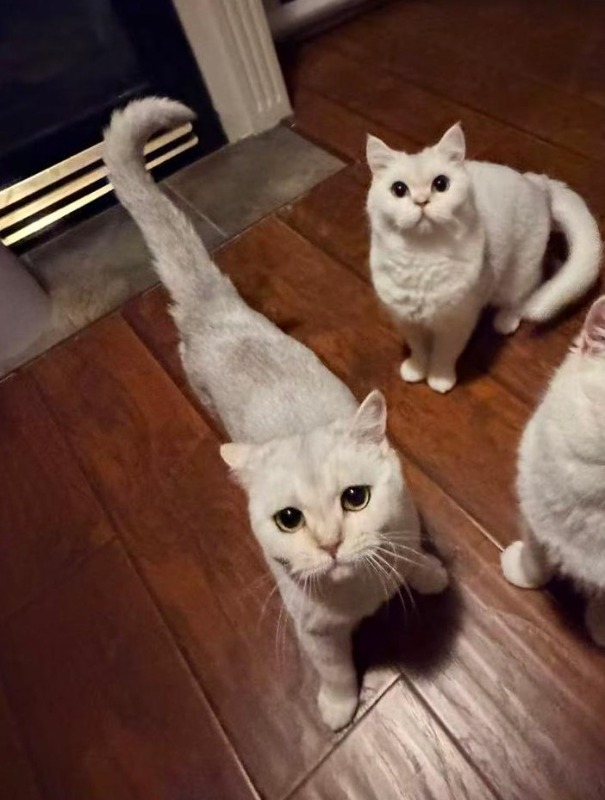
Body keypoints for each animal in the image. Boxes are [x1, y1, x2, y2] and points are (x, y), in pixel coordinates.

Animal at [103, 97, 448, 730]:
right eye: (289, 519)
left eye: (355, 498)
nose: (331, 543)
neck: (360, 592)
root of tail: (215, 307)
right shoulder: (315, 634)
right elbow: (335, 671)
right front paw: (338, 708)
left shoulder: (405, 528)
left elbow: (412, 559)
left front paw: (430, 574)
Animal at [366, 124, 602, 393]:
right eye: (399, 189)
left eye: (440, 184)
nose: (421, 201)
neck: (422, 258)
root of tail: (536, 182)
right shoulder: (406, 320)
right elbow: (419, 350)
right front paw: (416, 370)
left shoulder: (457, 321)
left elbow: (444, 354)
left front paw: (439, 379)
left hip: (517, 275)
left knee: (527, 292)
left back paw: (506, 321)